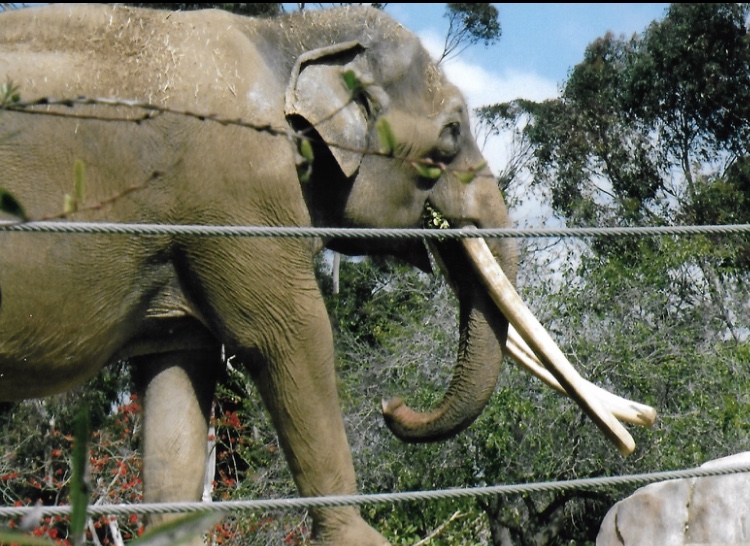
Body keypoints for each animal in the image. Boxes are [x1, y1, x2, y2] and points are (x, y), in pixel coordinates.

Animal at [0, 4, 654, 545]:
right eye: (447, 139)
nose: (392, 406)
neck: (287, 36)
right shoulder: (241, 193)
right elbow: (290, 334)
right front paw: (358, 538)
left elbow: (177, 383)